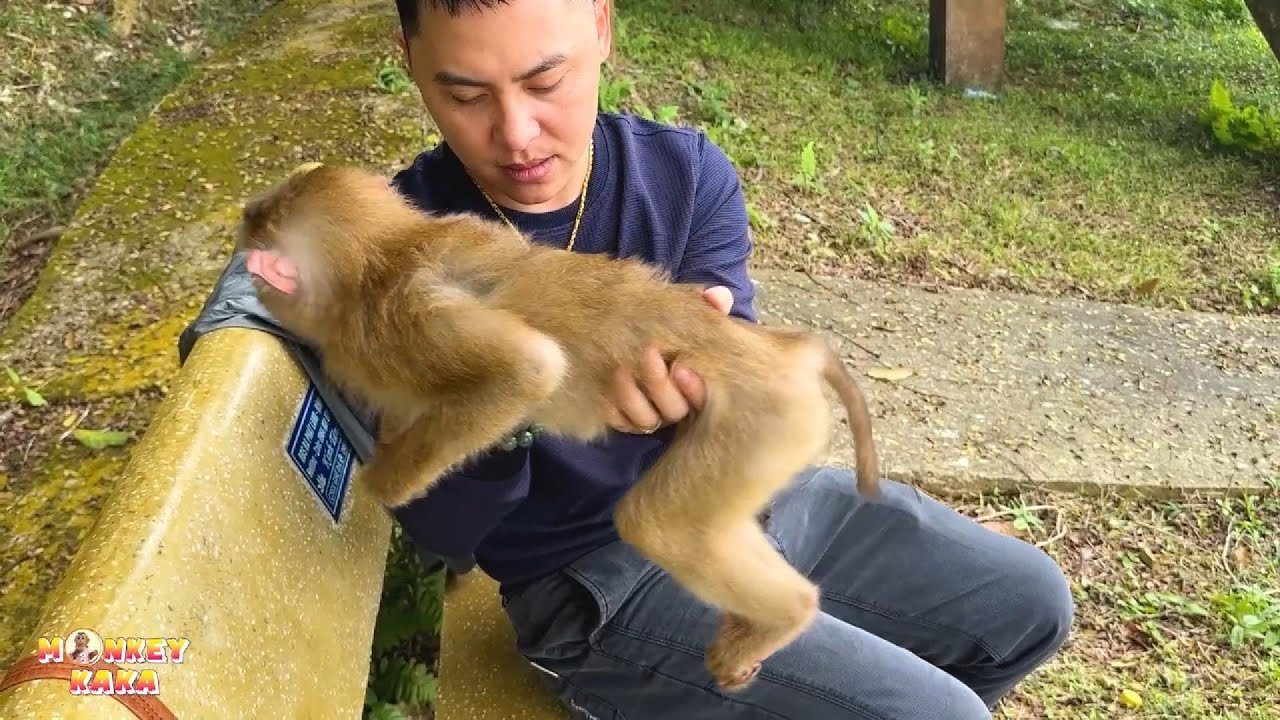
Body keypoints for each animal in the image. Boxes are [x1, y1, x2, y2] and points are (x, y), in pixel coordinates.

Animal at [235, 162, 882, 691]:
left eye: (265, 219)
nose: (244, 217)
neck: (384, 255)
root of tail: (782, 351)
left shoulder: (404, 317)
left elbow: (529, 367)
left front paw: (379, 485)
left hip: (761, 419)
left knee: (658, 521)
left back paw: (789, 612)